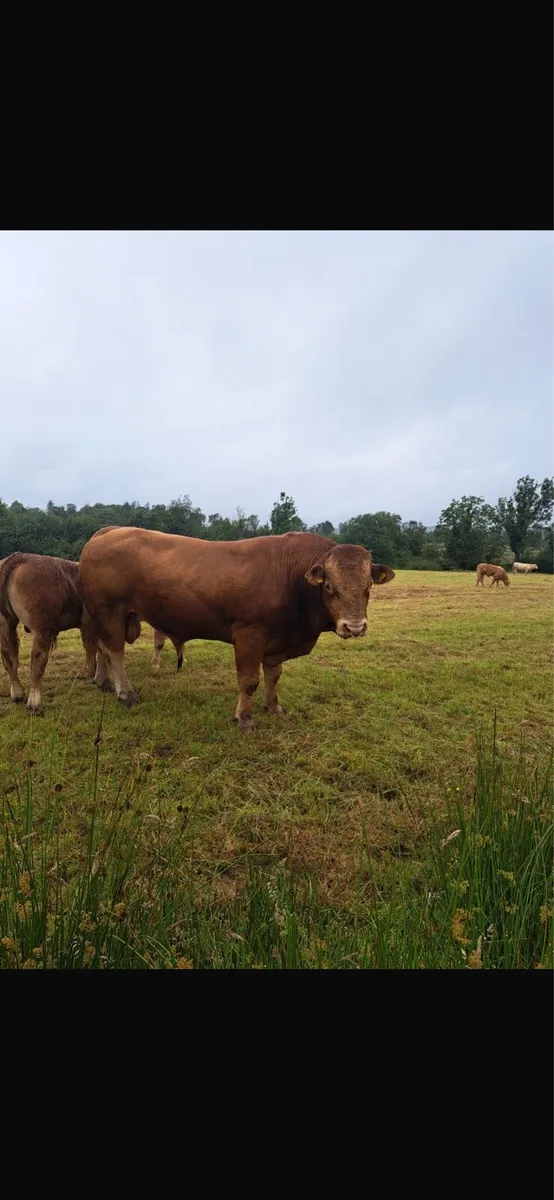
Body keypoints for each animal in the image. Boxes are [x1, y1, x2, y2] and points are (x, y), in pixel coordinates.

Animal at [0, 552, 98, 714]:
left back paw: (18, 694)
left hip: (6, 624)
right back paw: (34, 703)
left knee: (9, 657)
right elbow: (93, 647)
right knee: (37, 660)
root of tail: (18, 557)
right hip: (42, 628)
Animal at [79, 527, 395, 732]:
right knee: (114, 652)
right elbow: (249, 681)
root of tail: (108, 532)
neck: (288, 577)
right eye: (329, 586)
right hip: (111, 612)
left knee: (102, 649)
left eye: (368, 586)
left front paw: (274, 707)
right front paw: (244, 719)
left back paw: (103, 682)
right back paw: (126, 694)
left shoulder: (277, 640)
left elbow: (273, 676)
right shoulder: (249, 634)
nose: (354, 626)